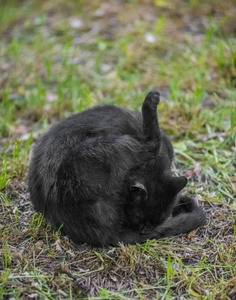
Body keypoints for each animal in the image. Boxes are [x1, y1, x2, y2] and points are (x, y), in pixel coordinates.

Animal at [27, 91, 205, 246]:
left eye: (155, 223)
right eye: (139, 221)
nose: (144, 231)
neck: (155, 164)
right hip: (95, 149)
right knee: (151, 144)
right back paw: (151, 101)